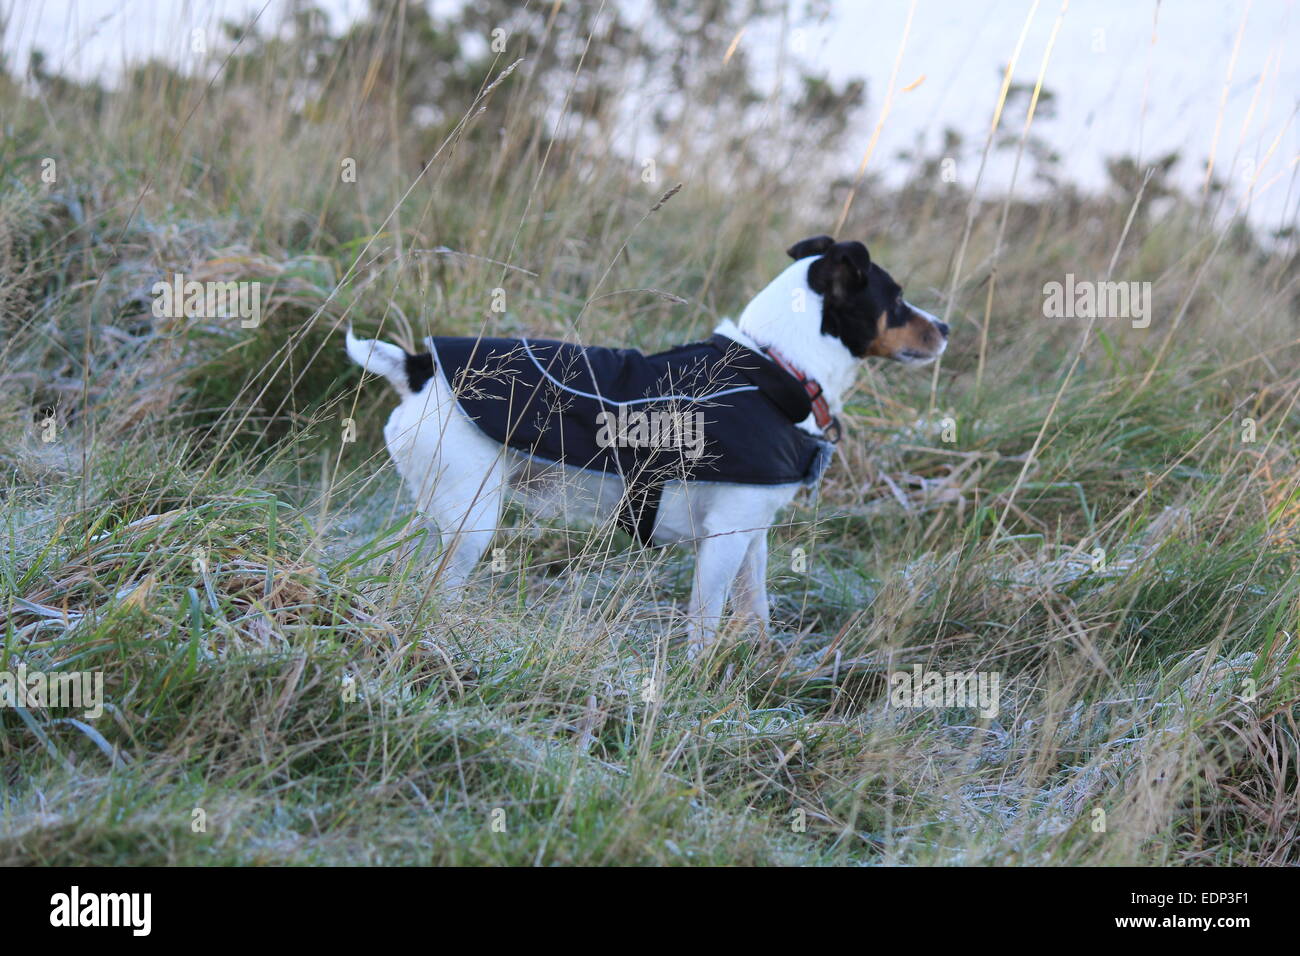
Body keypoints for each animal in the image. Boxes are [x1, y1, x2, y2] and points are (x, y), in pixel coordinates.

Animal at [348, 238, 946, 658]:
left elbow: (755, 609)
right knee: (438, 588)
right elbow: (705, 623)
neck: (775, 370)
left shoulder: (754, 534)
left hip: (438, 512)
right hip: (470, 523)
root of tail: (420, 369)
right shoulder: (724, 538)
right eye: (896, 299)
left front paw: (762, 667)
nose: (944, 326)